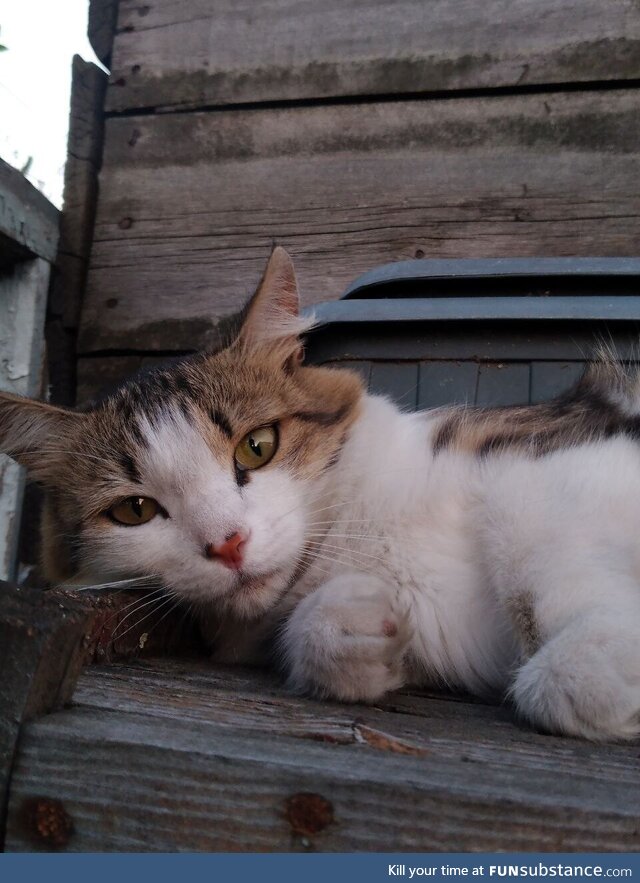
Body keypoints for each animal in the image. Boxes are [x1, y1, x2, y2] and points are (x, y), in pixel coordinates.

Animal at [1, 252, 640, 744]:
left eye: (257, 446)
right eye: (134, 511)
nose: (228, 544)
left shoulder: (547, 455)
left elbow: (534, 552)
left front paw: (594, 669)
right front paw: (351, 623)